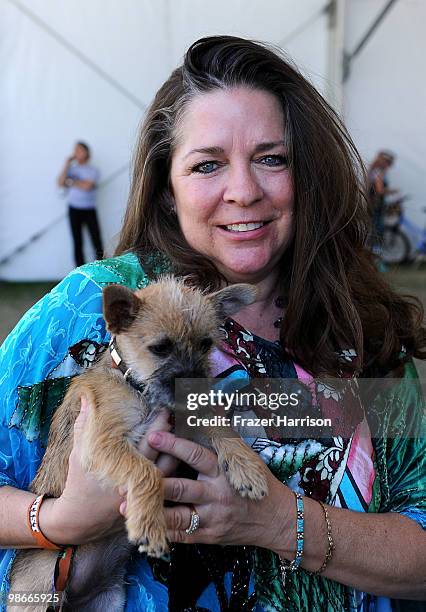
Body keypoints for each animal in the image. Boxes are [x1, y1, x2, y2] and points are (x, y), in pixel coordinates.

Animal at [9, 278, 270, 612]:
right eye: (160, 348)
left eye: (205, 344)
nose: (193, 385)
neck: (138, 387)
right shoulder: (102, 443)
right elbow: (148, 472)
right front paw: (149, 524)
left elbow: (218, 427)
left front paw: (247, 468)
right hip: (38, 595)